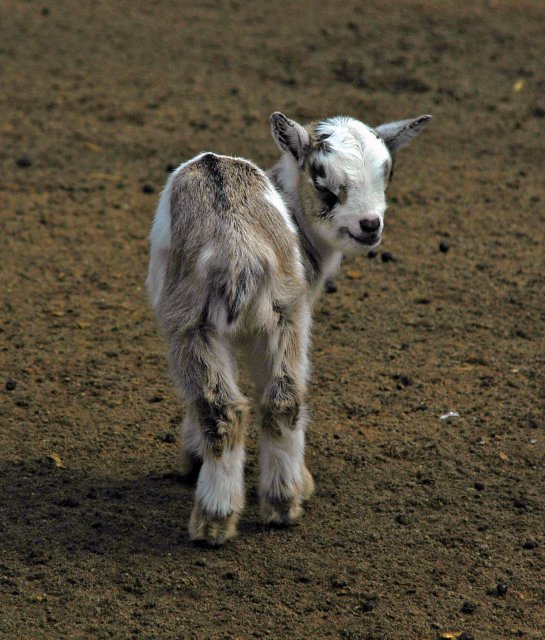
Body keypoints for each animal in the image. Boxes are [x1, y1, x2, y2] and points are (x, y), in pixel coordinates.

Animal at [146, 112, 431, 545]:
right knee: (282, 399)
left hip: (194, 320)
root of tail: (238, 248)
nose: (370, 225)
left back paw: (216, 518)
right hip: (282, 312)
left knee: (223, 408)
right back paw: (281, 504)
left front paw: (192, 459)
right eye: (321, 179)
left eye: (388, 172)